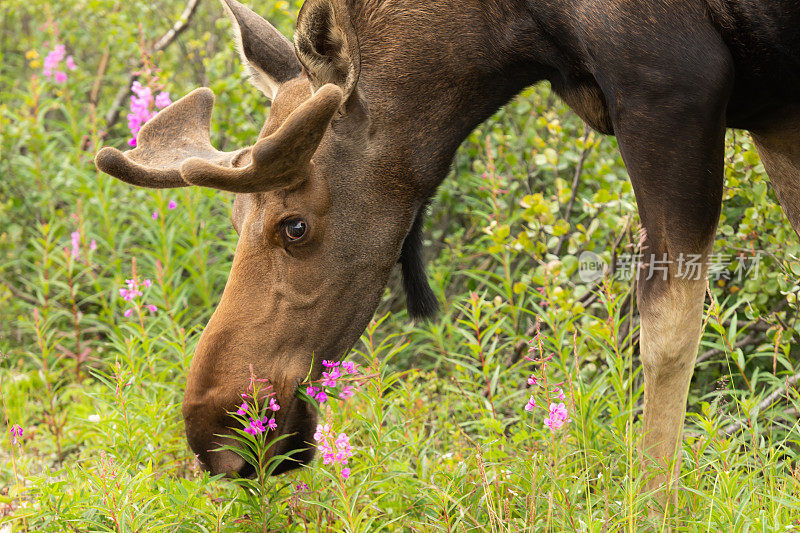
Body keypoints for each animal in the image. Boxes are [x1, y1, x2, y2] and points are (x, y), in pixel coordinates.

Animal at [97, 0, 800, 512]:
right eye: (236, 217)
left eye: (294, 226)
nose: (215, 427)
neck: (522, 29)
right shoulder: (773, 110)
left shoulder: (671, 85)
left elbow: (666, 334)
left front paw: (655, 508)